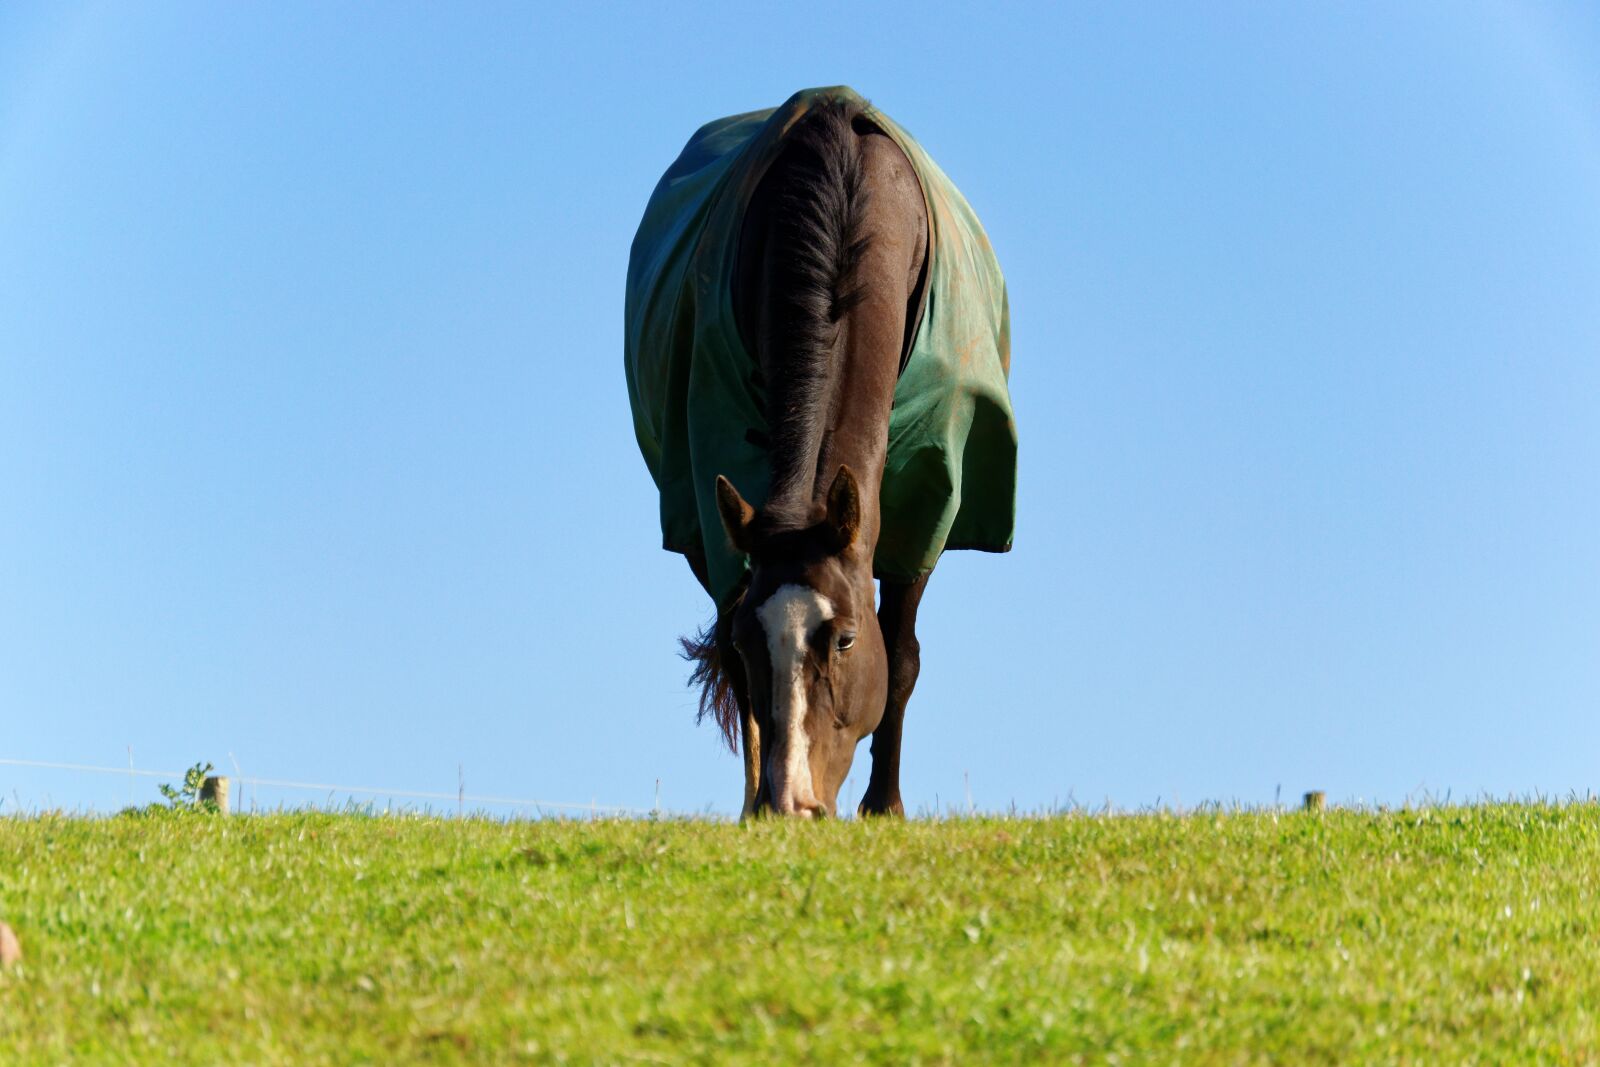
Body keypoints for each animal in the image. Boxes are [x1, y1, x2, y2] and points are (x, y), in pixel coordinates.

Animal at [625, 87, 1016, 818]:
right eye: (753, 640)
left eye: (844, 639)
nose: (793, 802)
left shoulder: (926, 502)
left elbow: (903, 653)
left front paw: (884, 805)